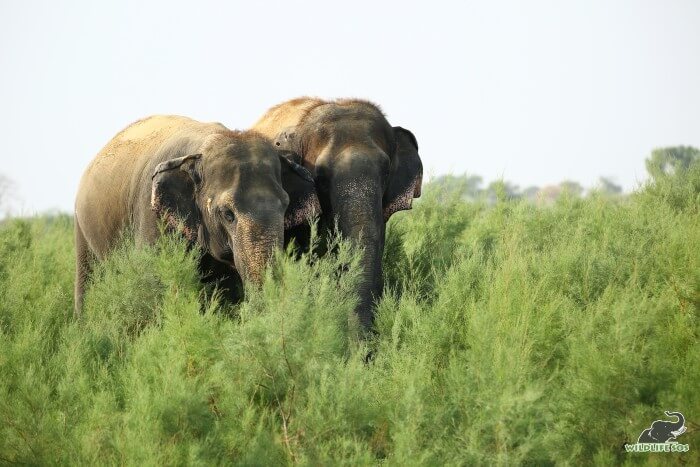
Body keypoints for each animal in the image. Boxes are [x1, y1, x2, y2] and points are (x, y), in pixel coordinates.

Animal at [74, 115, 320, 316]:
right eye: (227, 214)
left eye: (285, 206)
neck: (202, 149)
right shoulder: (150, 212)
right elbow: (154, 278)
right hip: (81, 223)